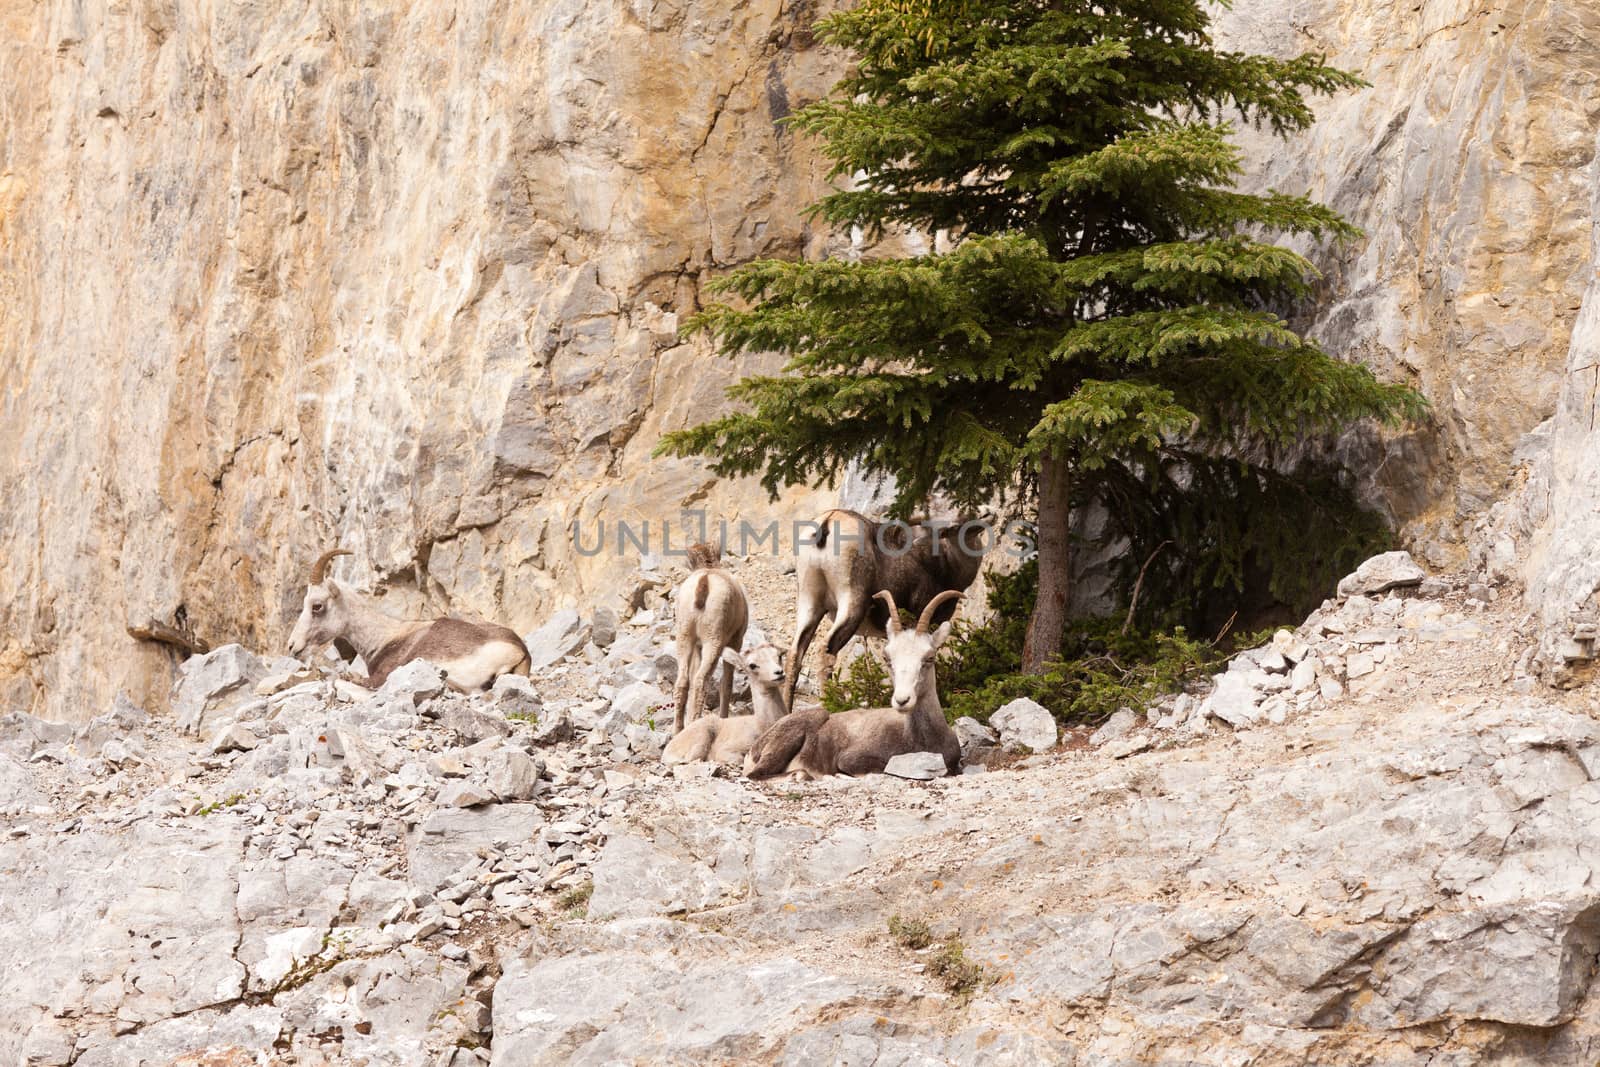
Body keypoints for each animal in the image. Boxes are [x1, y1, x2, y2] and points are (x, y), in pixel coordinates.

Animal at [659, 643, 790, 767]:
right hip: (702, 738)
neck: (762, 725)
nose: (779, 673)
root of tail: (668, 749)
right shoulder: (727, 750)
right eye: (752, 665)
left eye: (779, 655)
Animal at [672, 543, 752, 735]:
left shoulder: (696, 647)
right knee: (701, 681)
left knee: (683, 682)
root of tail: (705, 581)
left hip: (684, 638)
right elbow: (726, 684)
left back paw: (677, 732)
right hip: (713, 643)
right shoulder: (735, 642)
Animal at [739, 588, 960, 780]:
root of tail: (754, 749)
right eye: (888, 658)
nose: (902, 700)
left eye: (929, 657)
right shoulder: (850, 759)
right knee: (756, 775)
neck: (917, 741)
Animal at [787, 508, 985, 710]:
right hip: (851, 602)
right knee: (826, 649)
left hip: (810, 603)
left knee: (795, 654)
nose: (985, 515)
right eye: (952, 527)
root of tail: (828, 522)